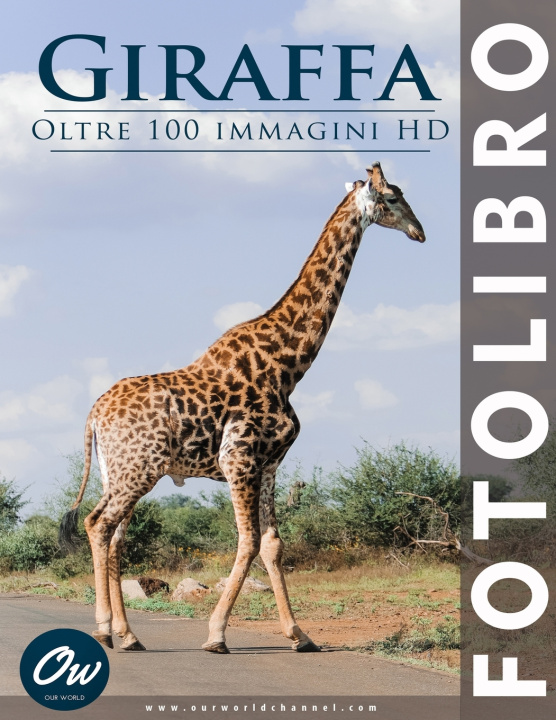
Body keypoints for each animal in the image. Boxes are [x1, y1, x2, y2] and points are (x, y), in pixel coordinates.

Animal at [60, 162, 425, 654]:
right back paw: (114, 631)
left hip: (117, 472)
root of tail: (94, 415)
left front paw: (299, 635)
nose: (419, 231)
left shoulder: (269, 463)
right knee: (99, 525)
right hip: (138, 470)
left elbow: (272, 544)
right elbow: (247, 542)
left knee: (113, 534)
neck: (290, 364)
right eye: (391, 198)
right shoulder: (239, 458)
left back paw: (121, 632)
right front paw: (216, 634)